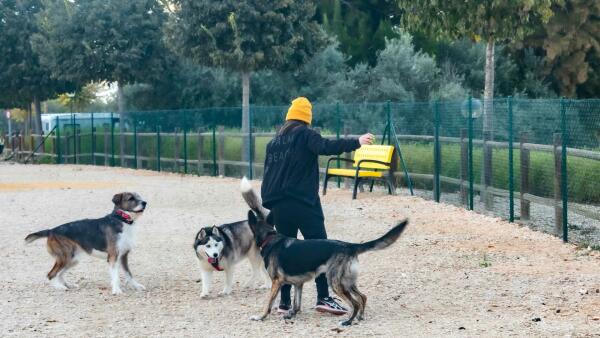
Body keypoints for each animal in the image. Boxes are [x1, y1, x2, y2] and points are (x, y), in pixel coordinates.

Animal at [241, 180, 410, 324]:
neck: (270, 237)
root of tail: (350, 246)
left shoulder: (276, 282)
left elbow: (268, 303)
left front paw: (260, 316)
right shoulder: (298, 284)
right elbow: (296, 303)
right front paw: (291, 314)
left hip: (335, 282)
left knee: (355, 302)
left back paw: (348, 321)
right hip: (347, 282)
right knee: (363, 297)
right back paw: (360, 317)